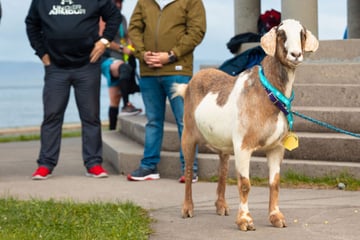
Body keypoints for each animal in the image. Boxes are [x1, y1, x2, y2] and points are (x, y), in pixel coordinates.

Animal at [173, 19, 320, 232]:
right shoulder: (243, 146)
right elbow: (244, 184)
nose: (295, 54)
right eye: (281, 34)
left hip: (223, 143)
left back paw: (221, 206)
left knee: (223, 168)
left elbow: (275, 183)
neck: (269, 93)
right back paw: (187, 209)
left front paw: (276, 217)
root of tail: (191, 83)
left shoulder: (276, 147)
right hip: (188, 133)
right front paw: (245, 221)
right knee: (188, 168)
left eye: (302, 34)